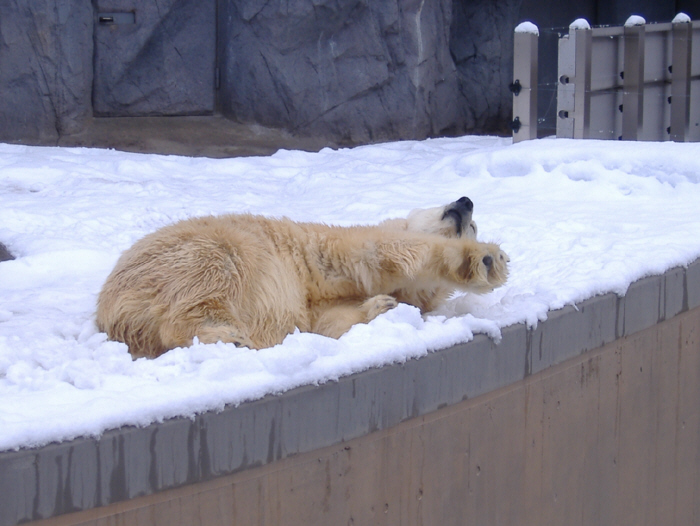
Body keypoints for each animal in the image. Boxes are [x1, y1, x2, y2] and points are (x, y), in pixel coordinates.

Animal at [96, 197, 508, 358]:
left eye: (473, 224)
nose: (466, 202)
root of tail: (107, 313)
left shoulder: (322, 303)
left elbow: (331, 319)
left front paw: (383, 307)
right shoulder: (332, 247)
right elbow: (384, 250)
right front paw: (486, 260)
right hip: (194, 251)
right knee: (214, 272)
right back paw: (230, 336)